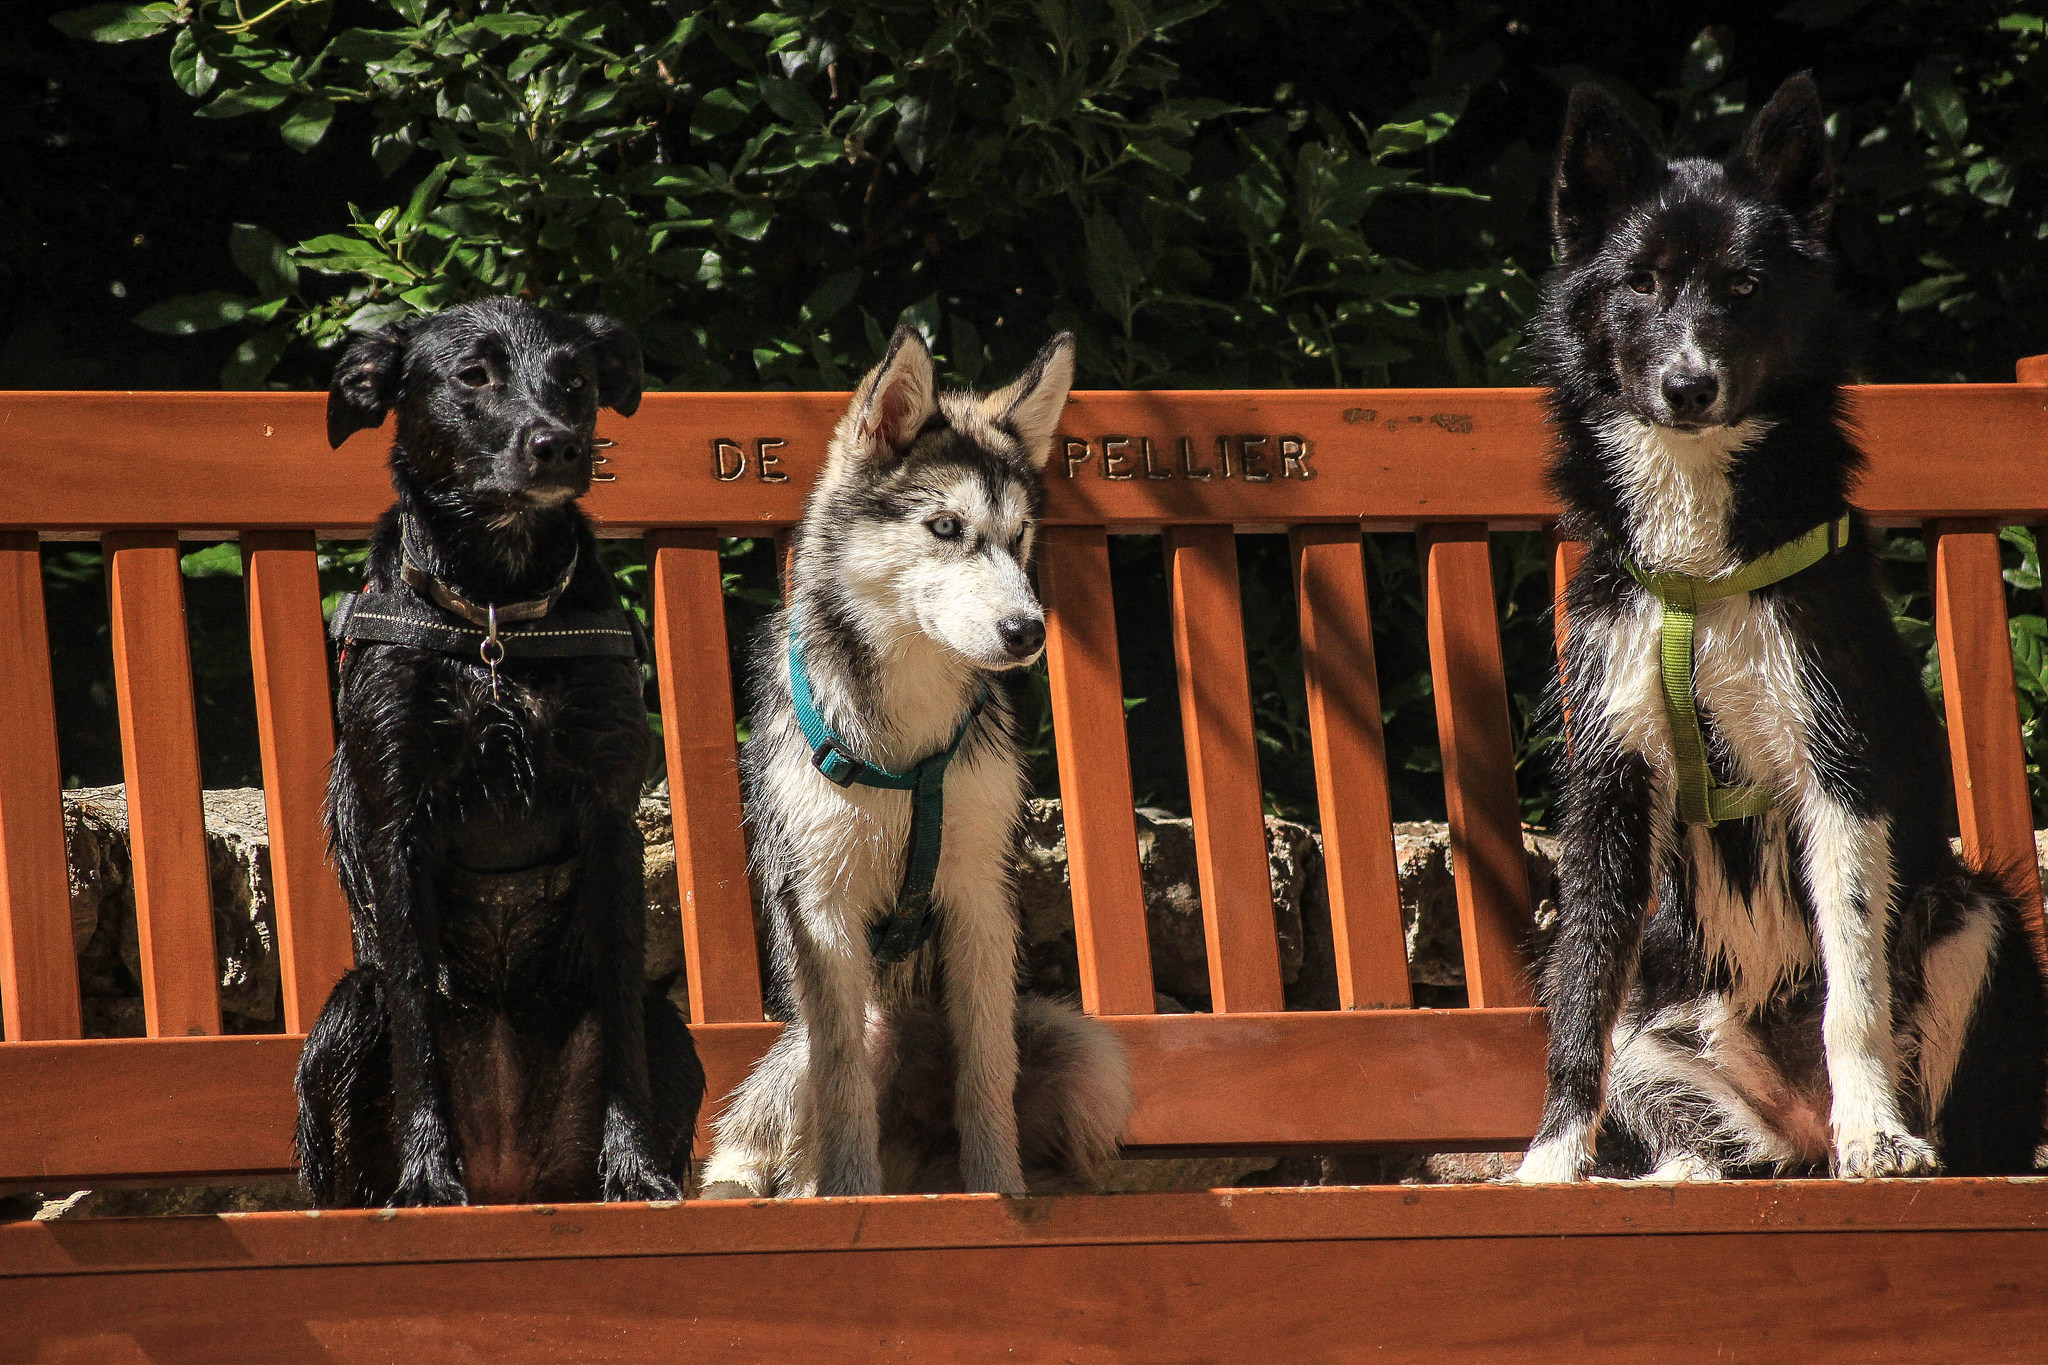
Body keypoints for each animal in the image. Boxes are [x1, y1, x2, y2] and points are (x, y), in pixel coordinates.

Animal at [297, 297, 705, 1207]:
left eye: (576, 378)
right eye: (473, 376)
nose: (557, 444)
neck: (495, 616)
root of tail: (511, 1178)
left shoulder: (611, 820)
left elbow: (621, 1005)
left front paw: (633, 1164)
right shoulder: (397, 824)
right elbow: (416, 1009)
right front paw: (424, 1171)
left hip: (674, 1029)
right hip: (344, 1018)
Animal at [700, 326, 1133, 1198]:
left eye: (1020, 537)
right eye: (943, 527)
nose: (1027, 631)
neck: (907, 741)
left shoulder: (977, 897)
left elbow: (987, 1071)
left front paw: (999, 1189)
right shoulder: (823, 911)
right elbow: (842, 1087)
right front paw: (853, 1197)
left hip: (1085, 1049)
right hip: (842, 1034)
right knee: (765, 1146)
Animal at [1520, 75, 2047, 1183]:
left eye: (1743, 286)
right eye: (1639, 282)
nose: (1688, 385)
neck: (1701, 564)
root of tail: (1796, 1129)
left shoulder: (1838, 769)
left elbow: (1853, 990)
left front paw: (1876, 1132)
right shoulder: (1609, 786)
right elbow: (1580, 987)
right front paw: (1549, 1159)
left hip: (1974, 914)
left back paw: (1874, 1138)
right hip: (1661, 1040)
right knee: (1703, 1132)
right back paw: (1675, 1174)